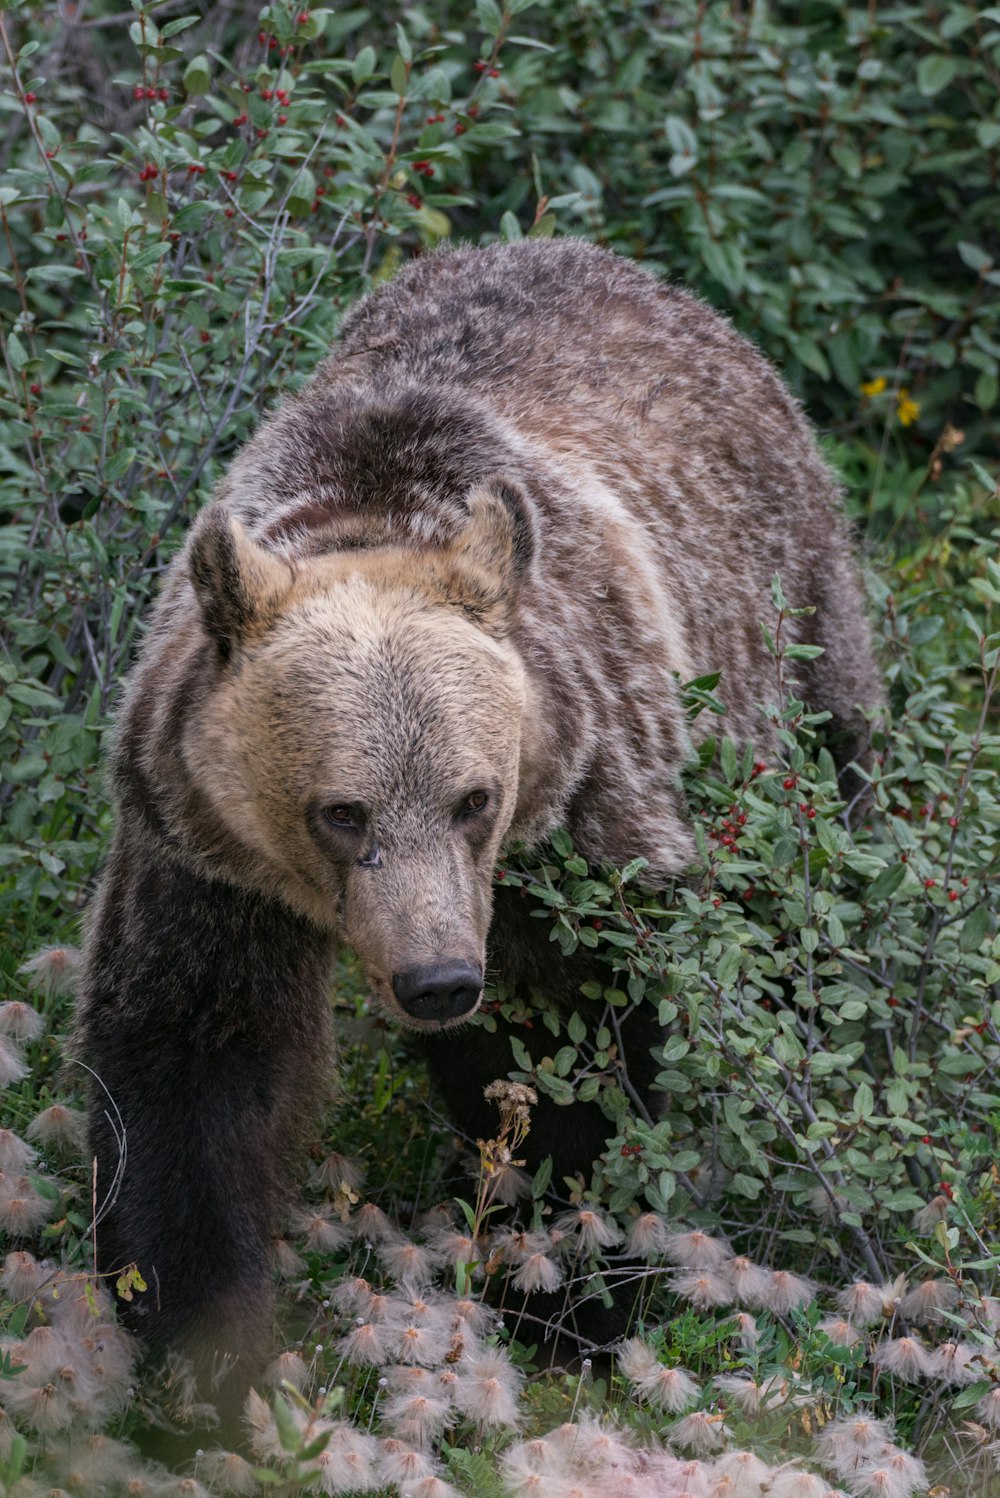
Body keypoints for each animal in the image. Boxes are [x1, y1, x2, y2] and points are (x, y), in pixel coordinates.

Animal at [74, 239, 880, 1420]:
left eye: (474, 798)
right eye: (341, 811)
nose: (440, 981)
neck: (370, 507)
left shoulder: (579, 822)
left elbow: (575, 1056)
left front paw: (577, 1294)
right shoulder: (202, 847)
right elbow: (192, 1059)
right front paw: (204, 1339)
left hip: (787, 654)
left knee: (809, 902)